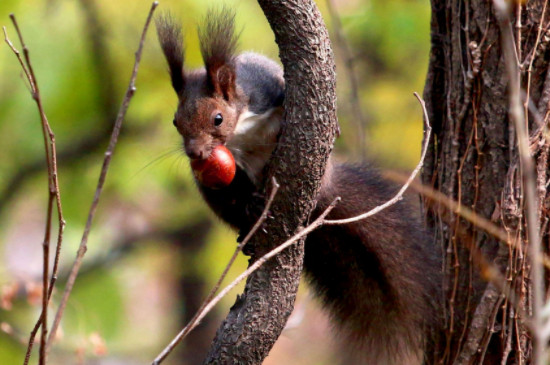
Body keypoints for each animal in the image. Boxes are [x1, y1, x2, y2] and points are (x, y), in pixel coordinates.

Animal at [155, 8, 444, 364]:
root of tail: (325, 192)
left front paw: (334, 126)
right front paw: (248, 201)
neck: (240, 129)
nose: (195, 154)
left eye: (217, 118)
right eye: (176, 122)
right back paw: (249, 223)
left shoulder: (267, 89)